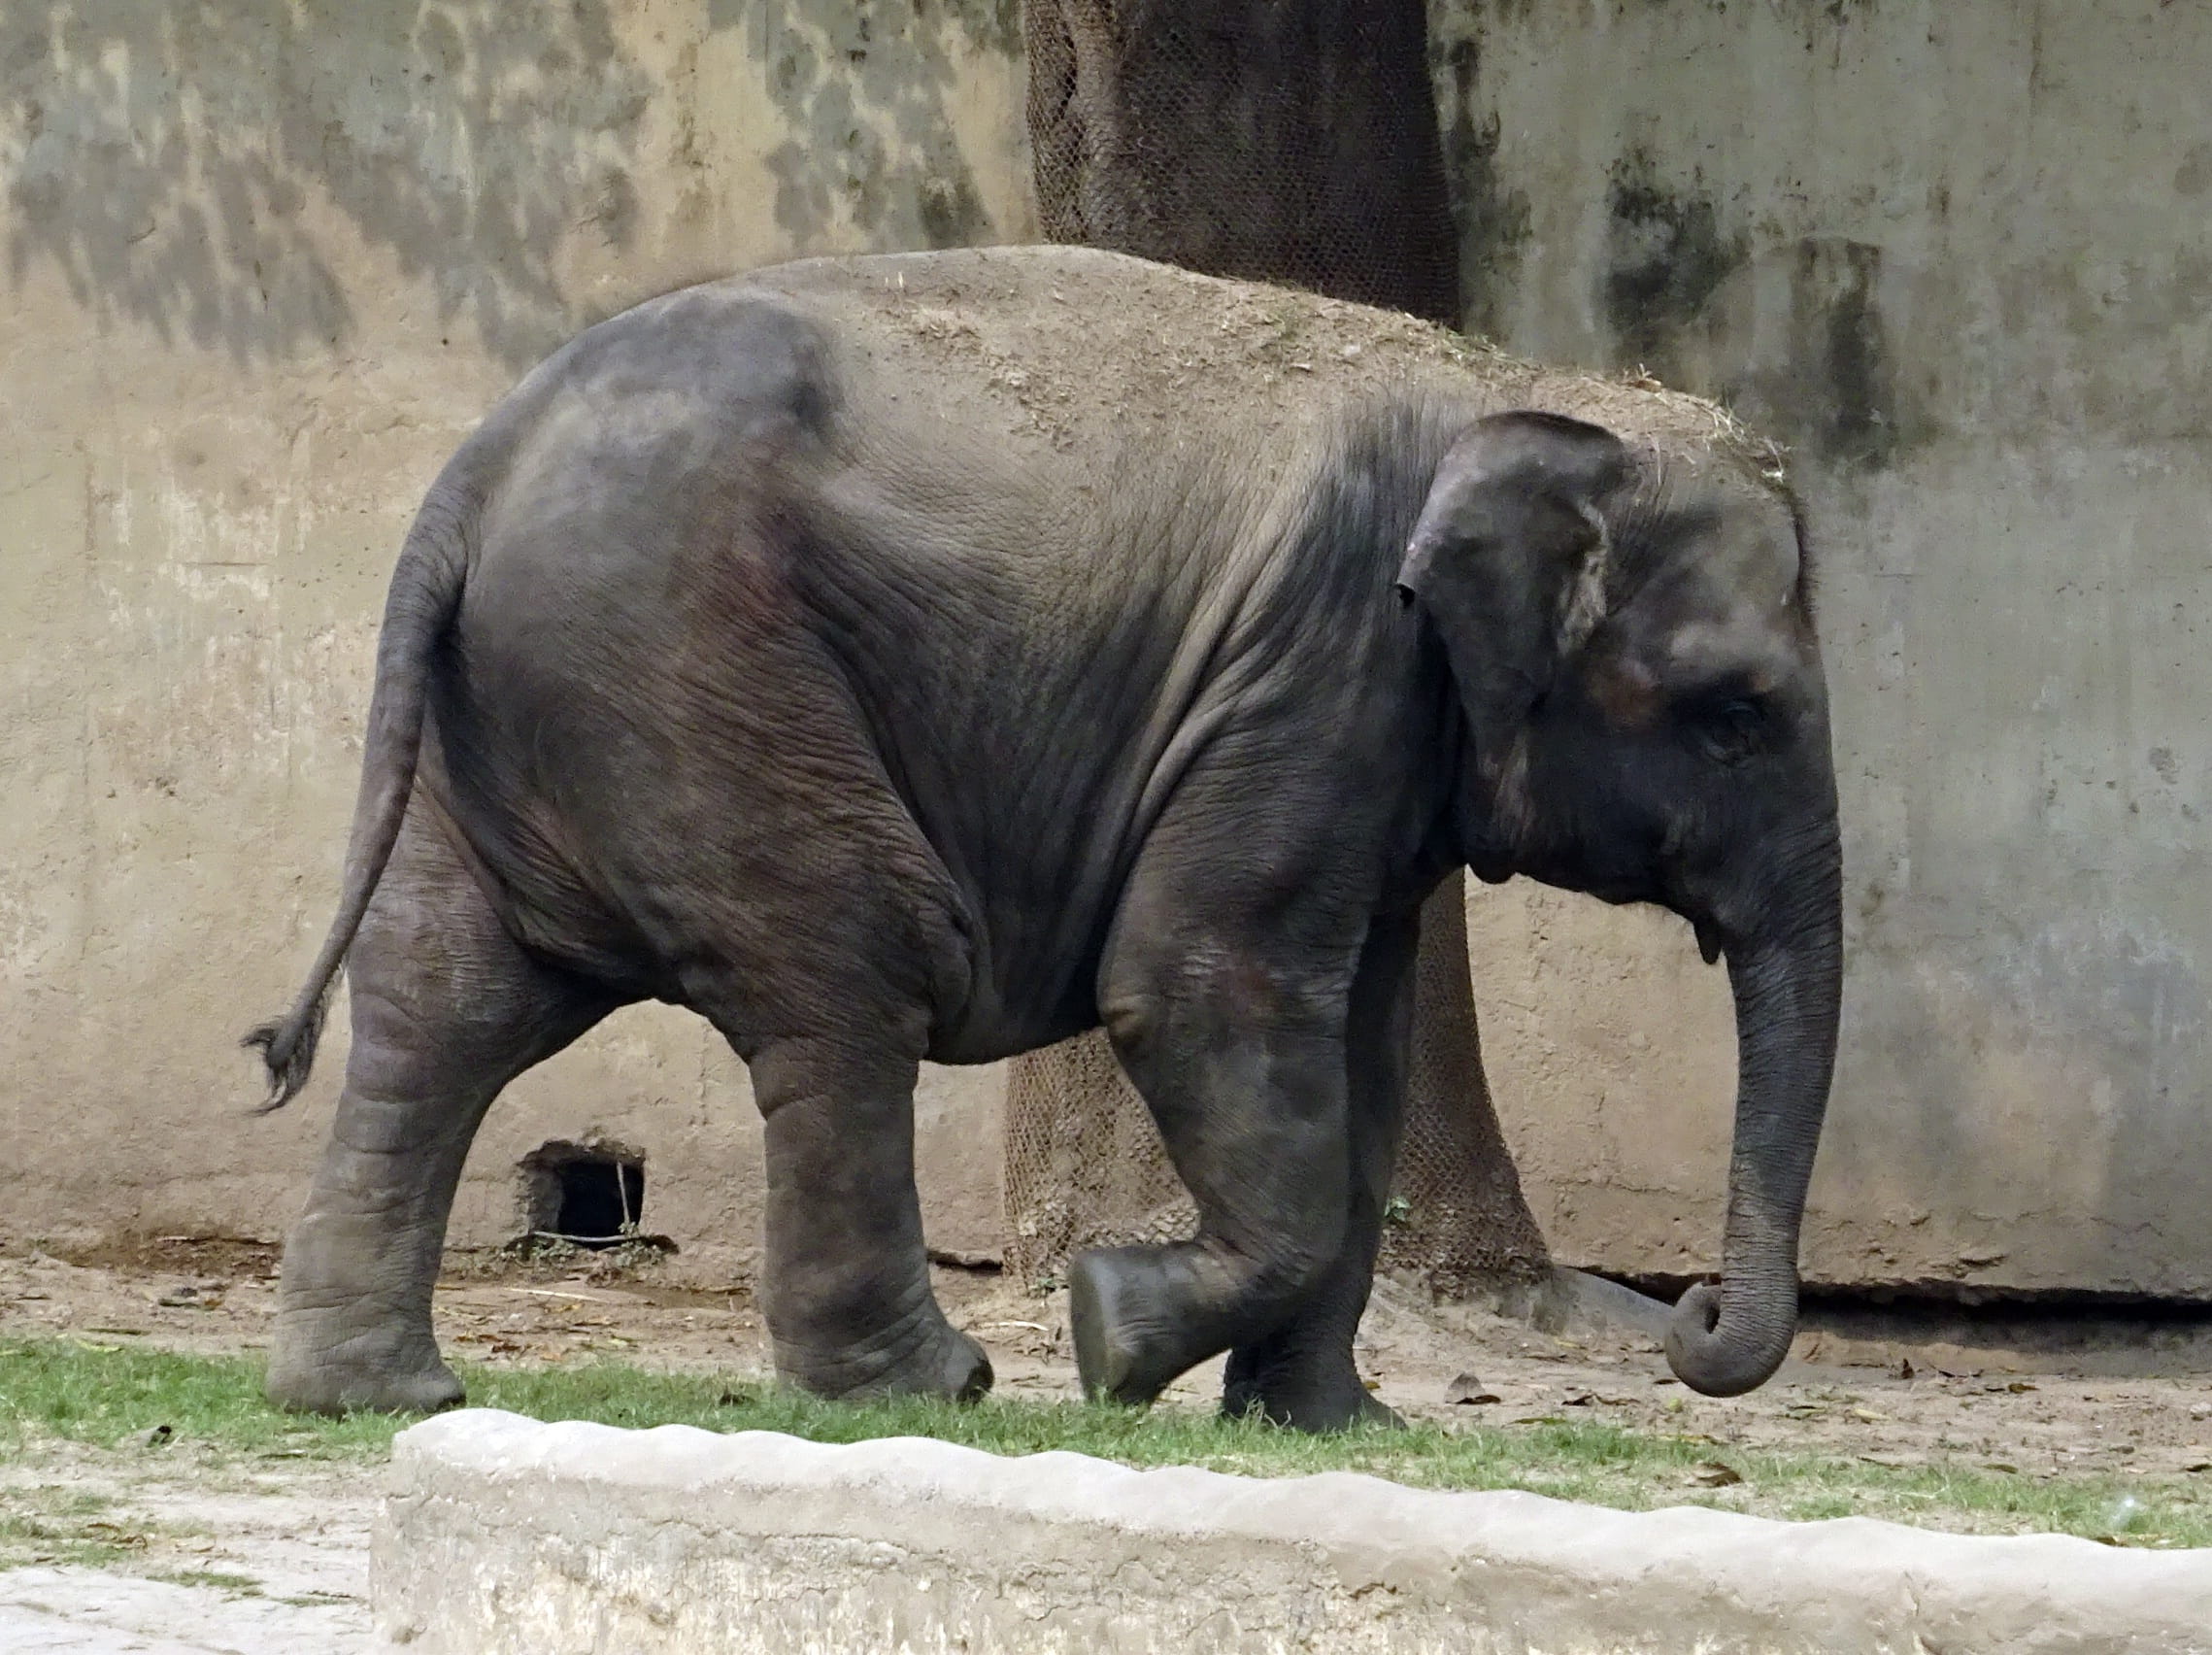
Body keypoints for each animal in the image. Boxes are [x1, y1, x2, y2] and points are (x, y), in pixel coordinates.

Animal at [246, 245, 1842, 1429]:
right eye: (1732, 718)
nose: (1692, 1312)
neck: (1514, 389)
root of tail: (472, 473)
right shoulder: (1317, 666)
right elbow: (1200, 986)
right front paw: (1109, 1336)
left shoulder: (1378, 741)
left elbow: (1363, 1053)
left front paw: (1326, 1427)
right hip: (684, 677)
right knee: (851, 979)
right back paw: (925, 1391)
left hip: (521, 715)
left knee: (446, 1005)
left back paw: (375, 1398)